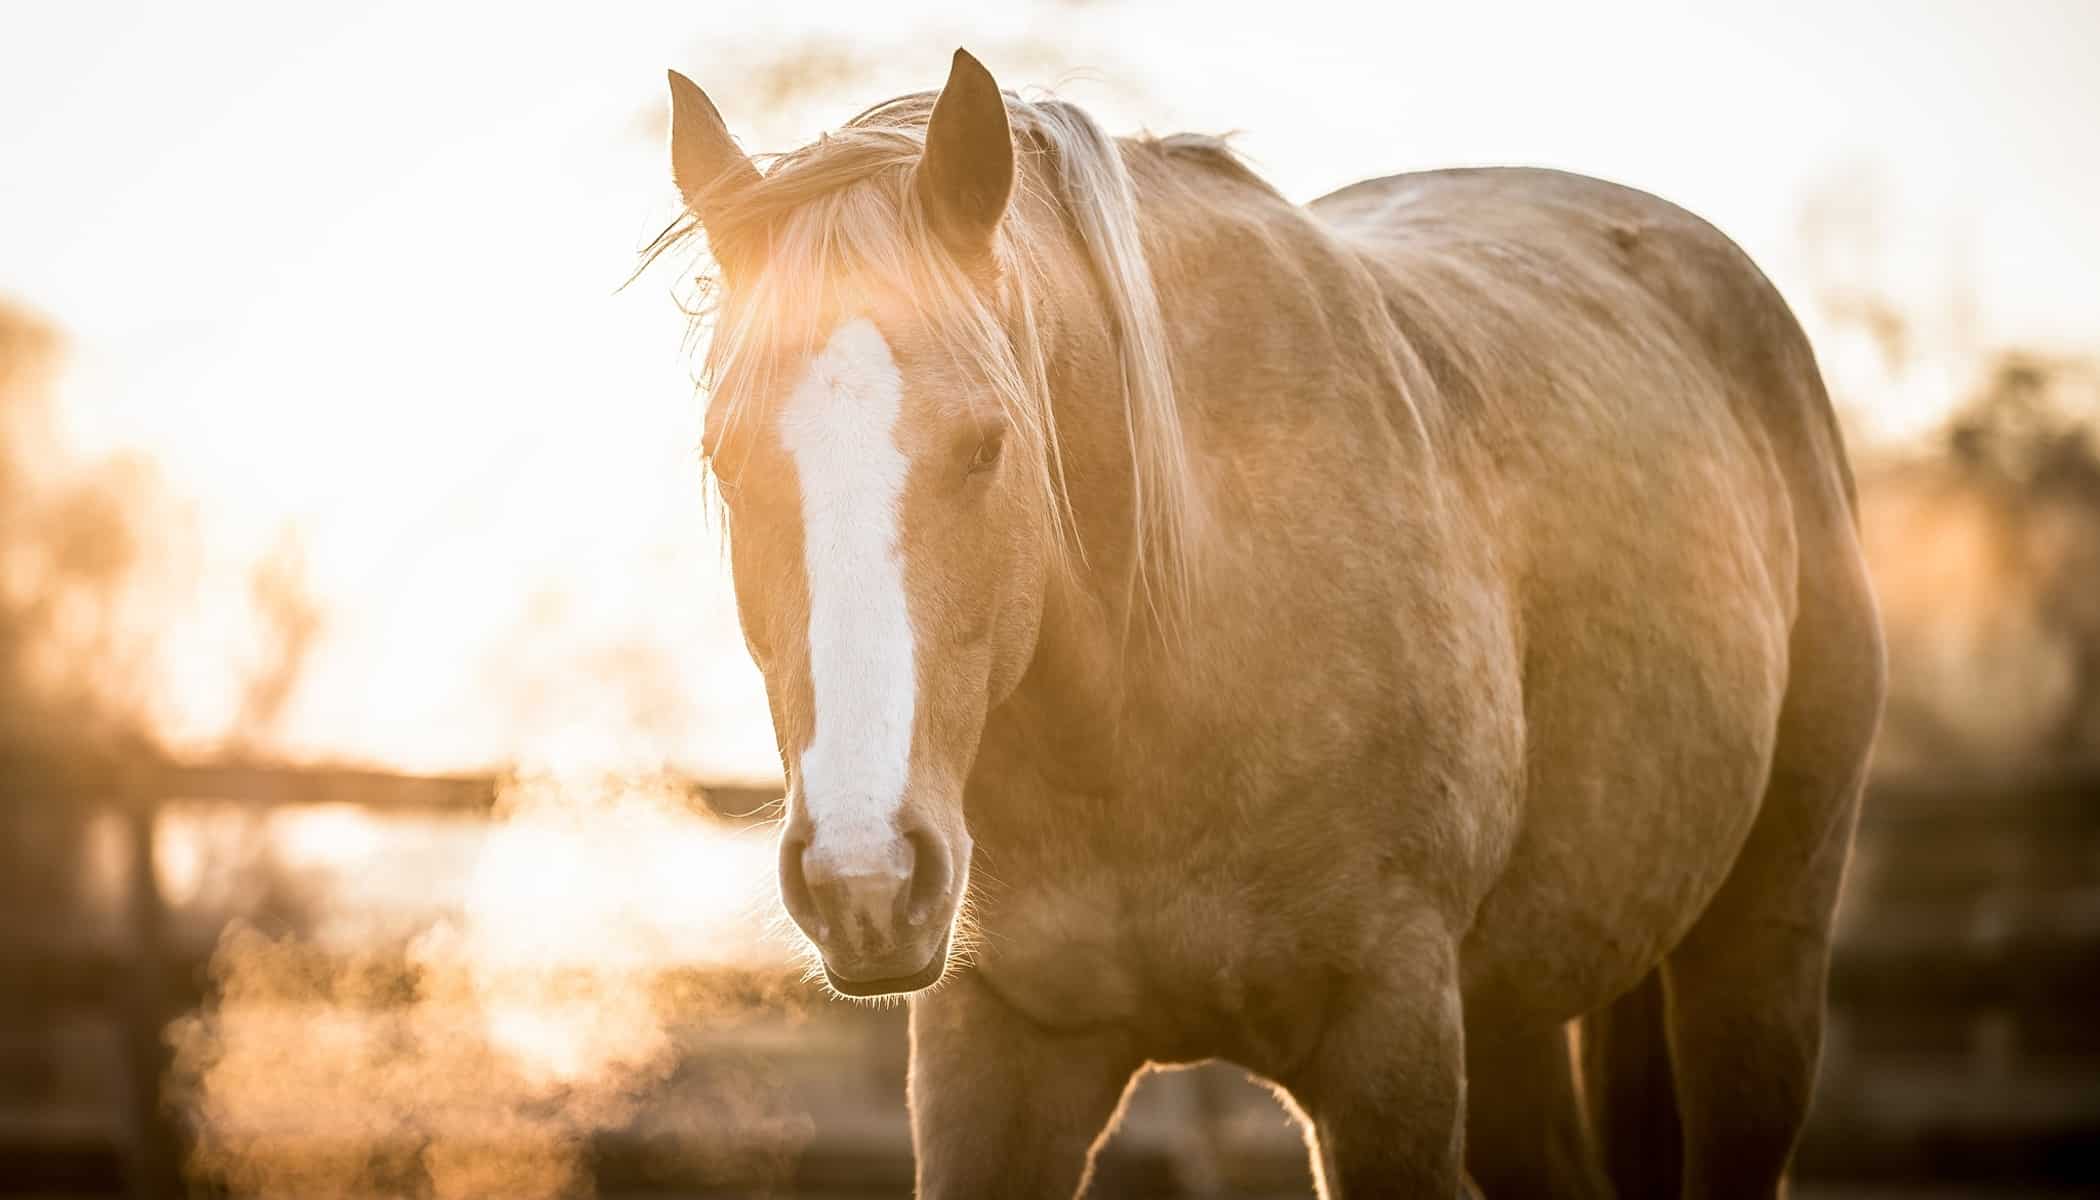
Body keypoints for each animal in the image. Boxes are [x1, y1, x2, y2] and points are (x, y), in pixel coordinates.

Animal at [651, 49, 1889, 1200]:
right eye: (724, 456)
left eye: (988, 445)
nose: (863, 880)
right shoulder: (997, 1052)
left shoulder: (1387, 1038)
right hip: (1513, 1015)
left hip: (1757, 951)